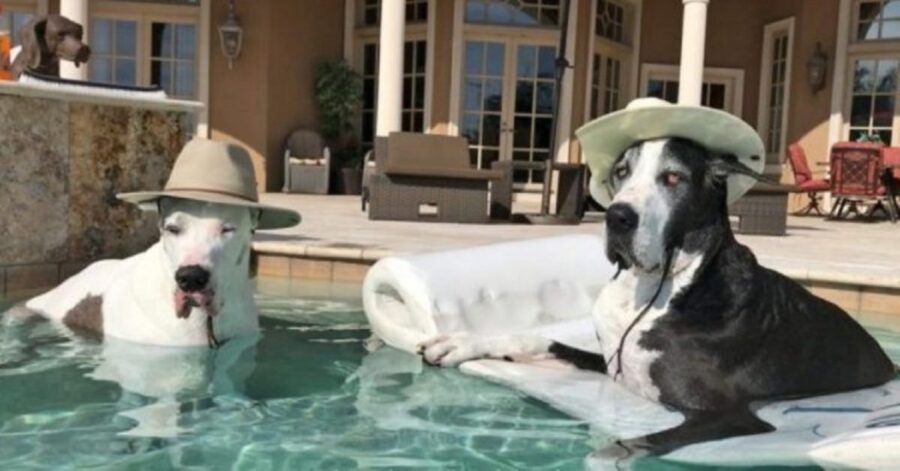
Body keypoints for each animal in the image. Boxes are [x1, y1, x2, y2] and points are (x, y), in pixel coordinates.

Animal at [418, 138, 896, 456]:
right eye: (622, 172)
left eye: (672, 178)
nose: (616, 217)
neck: (663, 288)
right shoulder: (610, 363)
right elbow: (539, 338)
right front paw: (459, 342)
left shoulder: (725, 414)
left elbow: (622, 449)